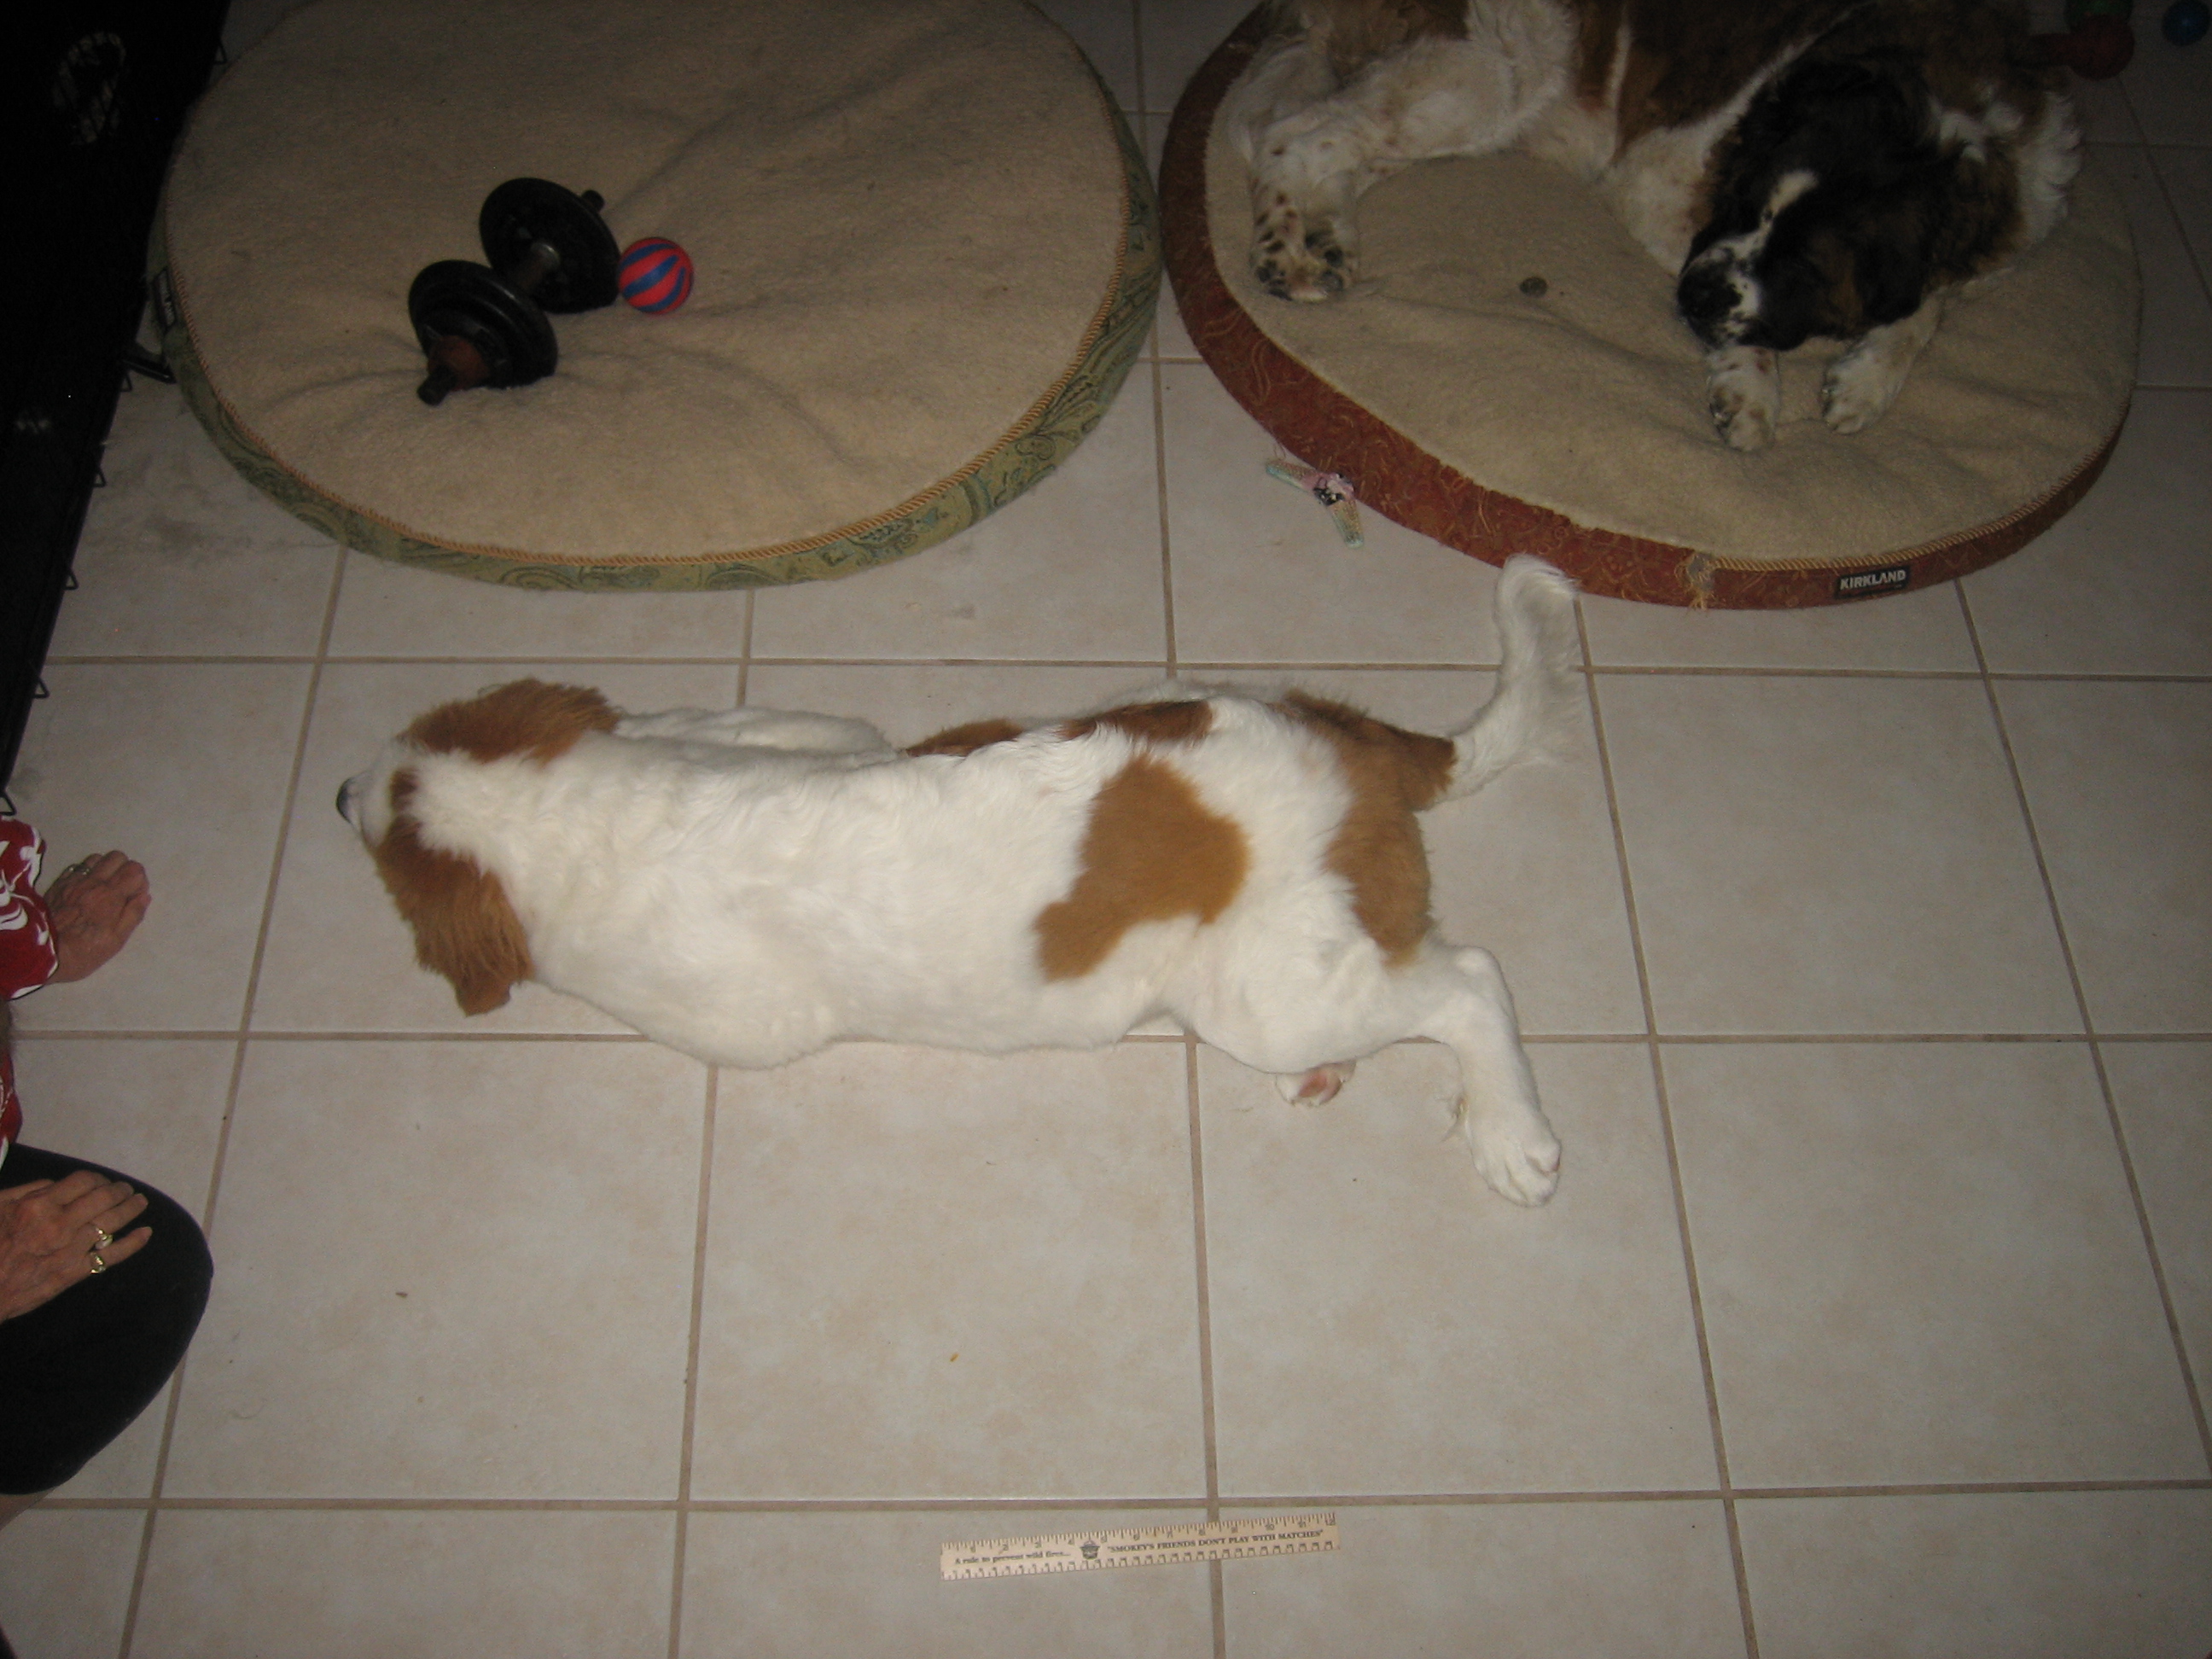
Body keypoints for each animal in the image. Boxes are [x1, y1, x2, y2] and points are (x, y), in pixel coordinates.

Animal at [337, 557, 1583, 1206]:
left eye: (379, 850)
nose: (338, 794)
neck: (585, 816)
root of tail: (1349, 742)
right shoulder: (812, 732)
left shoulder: (735, 1023)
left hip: (1264, 995)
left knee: (1471, 979)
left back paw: (1511, 1134)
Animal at [1225, 0, 2079, 449]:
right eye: (1746, 205)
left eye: (1807, 264)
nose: (1693, 301)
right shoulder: (1658, 182)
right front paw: (1753, 387)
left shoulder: (2015, 225)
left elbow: (1927, 304)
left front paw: (1866, 380)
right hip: (1485, 72)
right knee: (1293, 133)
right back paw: (1285, 250)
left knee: (1321, 140)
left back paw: (1323, 241)